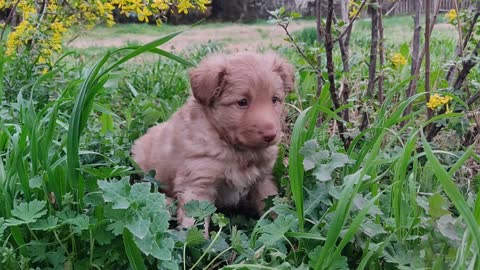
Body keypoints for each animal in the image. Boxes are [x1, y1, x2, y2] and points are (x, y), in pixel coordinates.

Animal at [133, 52, 294, 230]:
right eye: (242, 102)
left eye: (274, 99)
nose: (271, 134)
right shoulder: (197, 184)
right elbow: (194, 223)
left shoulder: (262, 179)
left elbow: (272, 206)